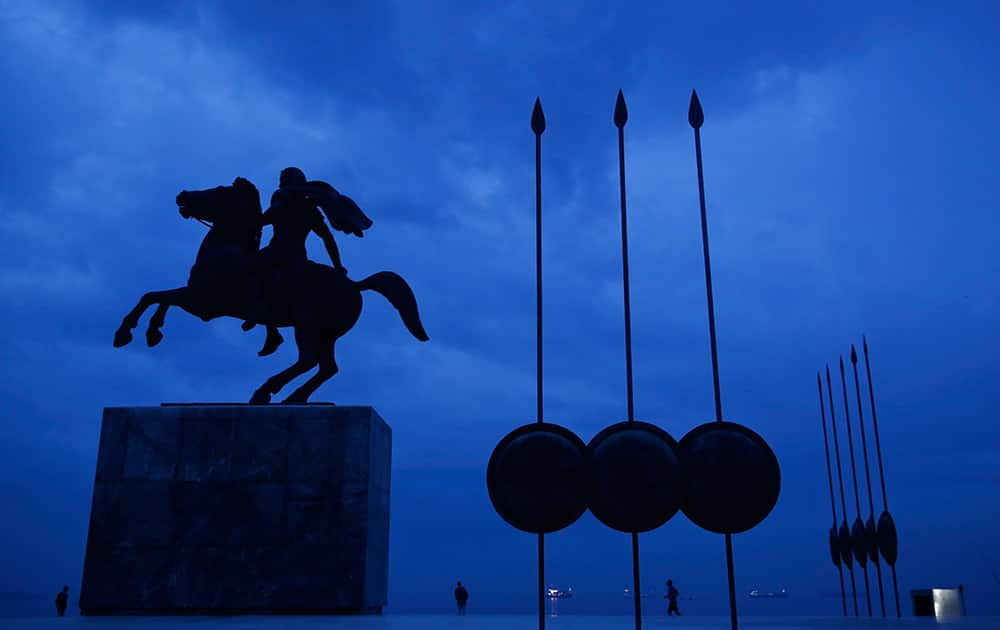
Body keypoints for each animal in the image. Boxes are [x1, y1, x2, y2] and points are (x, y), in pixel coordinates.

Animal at [113, 178, 430, 404]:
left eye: (217, 190)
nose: (183, 196)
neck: (225, 251)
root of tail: (355, 285)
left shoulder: (201, 303)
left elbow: (155, 296)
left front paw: (128, 332)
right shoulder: (195, 300)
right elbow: (158, 297)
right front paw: (152, 332)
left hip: (306, 325)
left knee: (308, 360)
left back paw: (265, 391)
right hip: (326, 334)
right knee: (327, 367)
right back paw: (293, 397)